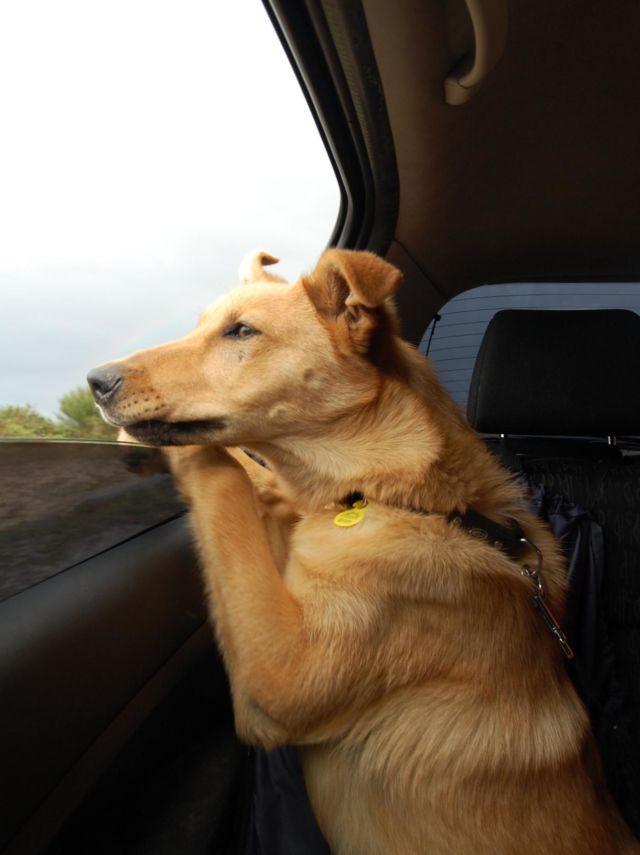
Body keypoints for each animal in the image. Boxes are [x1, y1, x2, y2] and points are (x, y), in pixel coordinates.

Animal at [88, 249, 638, 854]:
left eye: (242, 332)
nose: (97, 381)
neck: (413, 501)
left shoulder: (281, 673)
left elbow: (223, 476)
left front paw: (171, 444)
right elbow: (265, 488)